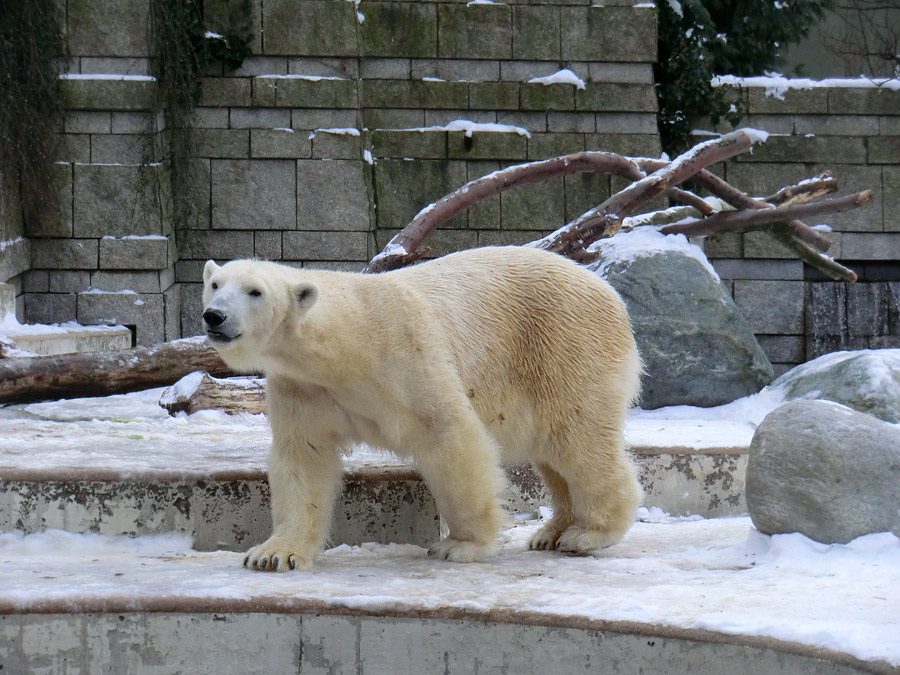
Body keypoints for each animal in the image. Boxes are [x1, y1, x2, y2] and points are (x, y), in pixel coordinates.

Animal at [201, 246, 644, 572]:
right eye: (215, 284)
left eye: (255, 291)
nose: (214, 315)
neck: (345, 347)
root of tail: (608, 290)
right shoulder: (305, 388)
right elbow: (303, 456)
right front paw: (273, 553)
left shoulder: (404, 357)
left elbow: (450, 435)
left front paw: (460, 545)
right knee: (553, 454)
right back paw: (550, 532)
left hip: (565, 347)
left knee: (577, 439)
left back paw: (589, 533)